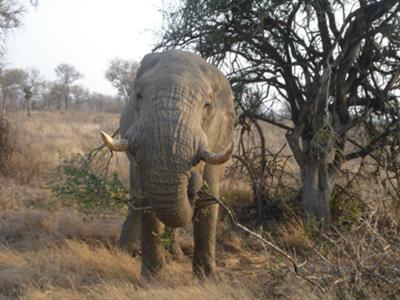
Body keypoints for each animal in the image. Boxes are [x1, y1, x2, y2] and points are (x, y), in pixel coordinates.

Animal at [100, 49, 236, 276]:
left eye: (207, 106)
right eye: (139, 96)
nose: (192, 180)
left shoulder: (218, 140)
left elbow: (209, 197)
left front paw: (206, 277)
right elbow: (146, 198)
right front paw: (152, 278)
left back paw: (176, 255)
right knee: (136, 197)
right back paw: (125, 250)